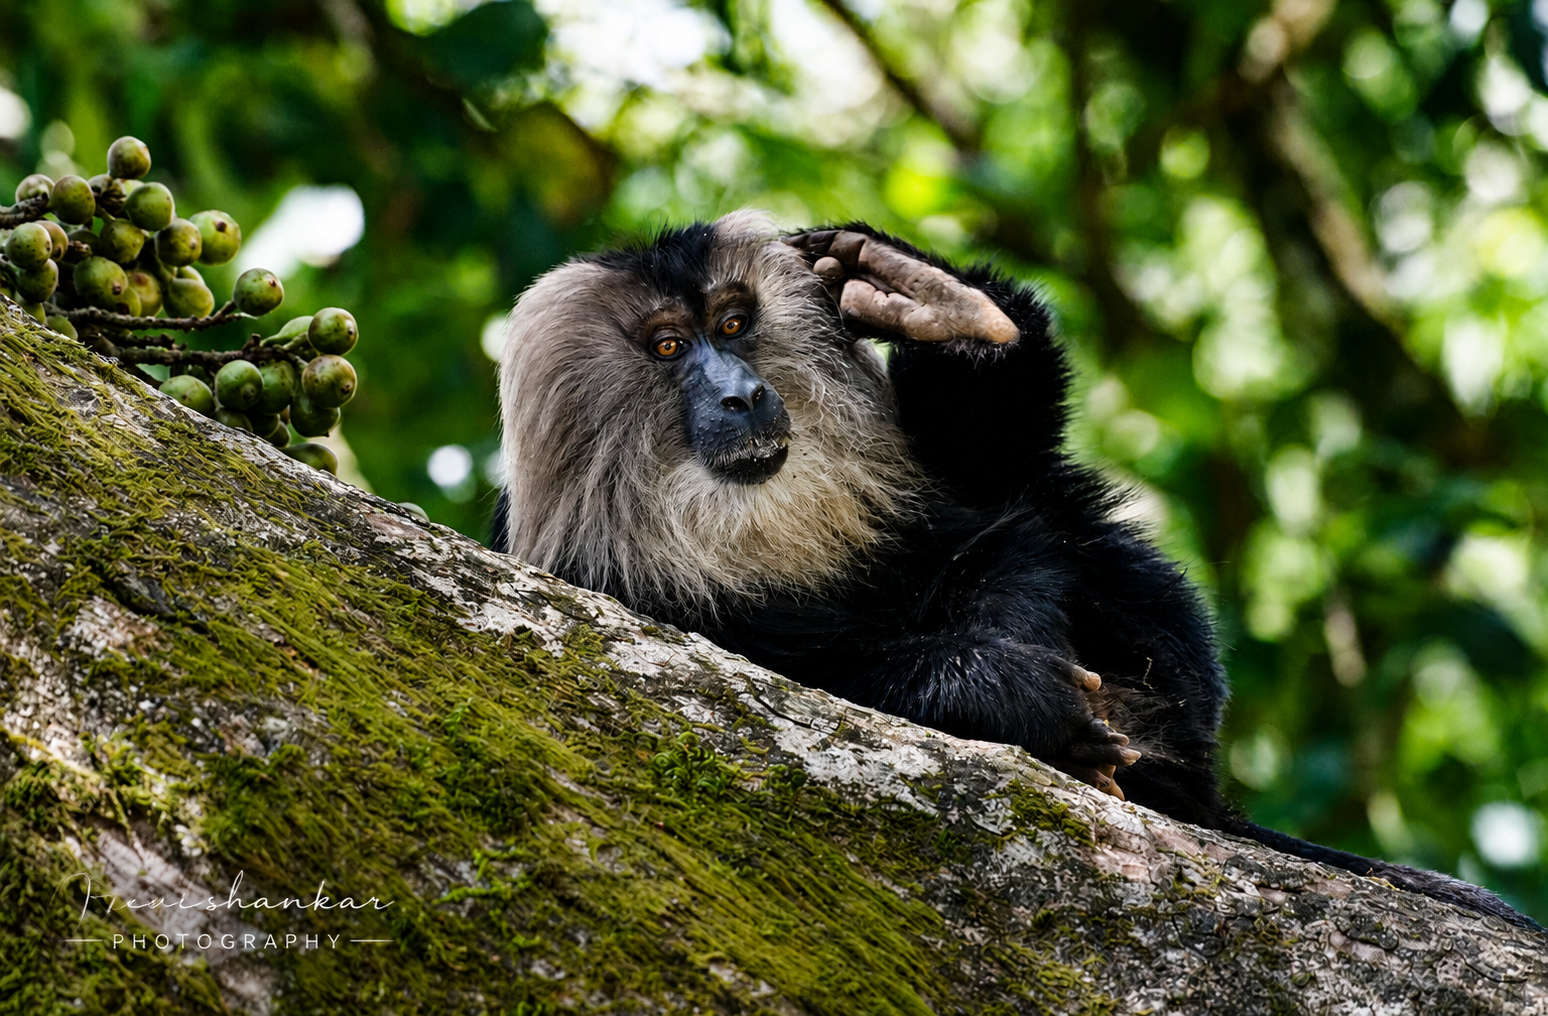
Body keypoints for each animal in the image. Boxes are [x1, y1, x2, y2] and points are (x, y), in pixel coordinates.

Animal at [491, 210, 1540, 930]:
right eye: (672, 347)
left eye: (737, 325)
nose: (745, 395)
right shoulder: (593, 573)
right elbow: (791, 679)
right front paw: (1011, 696)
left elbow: (1001, 529)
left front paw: (932, 301)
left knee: (1050, 500)